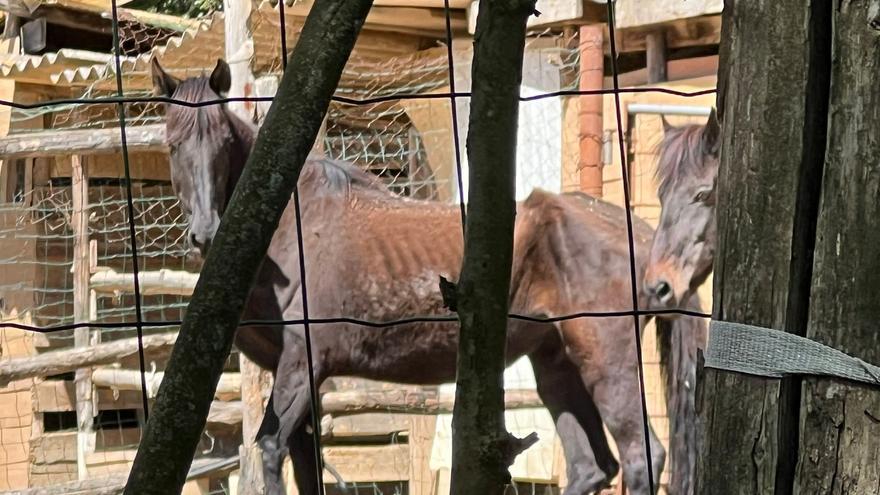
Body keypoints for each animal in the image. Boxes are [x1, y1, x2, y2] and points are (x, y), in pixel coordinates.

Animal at [153, 58, 700, 495]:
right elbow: (305, 464)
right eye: (173, 145)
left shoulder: (303, 363)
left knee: (640, 457)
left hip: (607, 362)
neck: (289, 225)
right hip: (557, 365)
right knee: (593, 467)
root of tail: (642, 233)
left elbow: (269, 448)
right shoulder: (301, 378)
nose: (205, 232)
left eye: (223, 141)